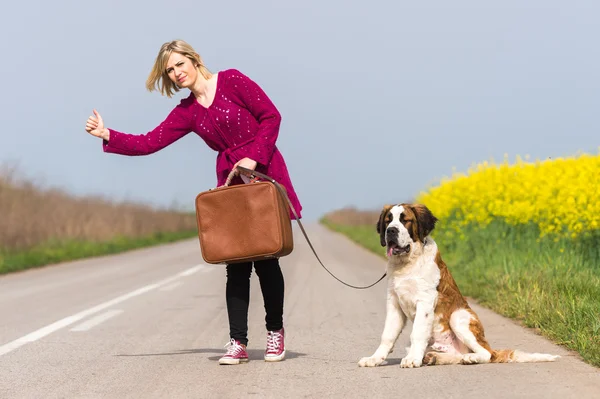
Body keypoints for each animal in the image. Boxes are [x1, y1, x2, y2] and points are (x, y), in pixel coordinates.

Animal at [356, 203, 556, 368]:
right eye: (388, 221)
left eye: (405, 221)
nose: (391, 231)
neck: (407, 264)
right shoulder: (394, 303)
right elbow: (387, 335)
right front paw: (374, 359)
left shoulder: (425, 302)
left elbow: (417, 332)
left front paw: (412, 360)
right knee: (457, 356)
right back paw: (435, 358)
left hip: (459, 316)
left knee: (487, 354)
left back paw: (470, 358)